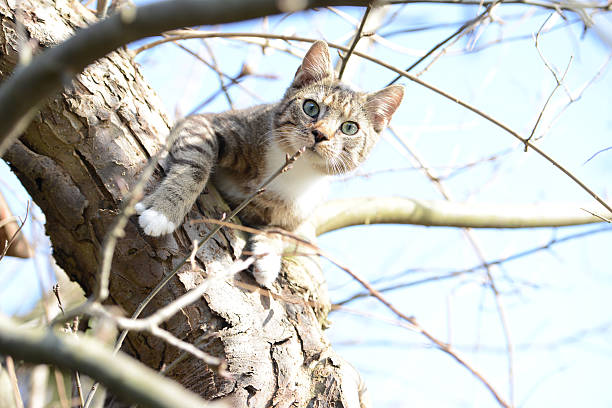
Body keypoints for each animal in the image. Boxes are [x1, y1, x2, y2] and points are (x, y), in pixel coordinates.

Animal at [137, 40, 406, 286]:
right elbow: (195, 166)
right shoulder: (207, 122)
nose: (320, 134)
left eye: (350, 128)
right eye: (311, 107)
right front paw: (163, 212)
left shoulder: (298, 216)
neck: (294, 170)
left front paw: (267, 258)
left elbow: (280, 232)